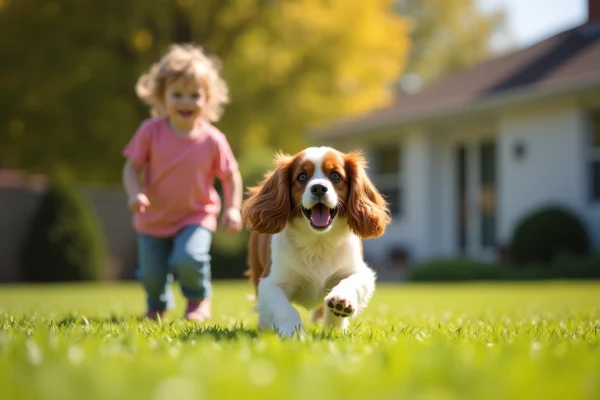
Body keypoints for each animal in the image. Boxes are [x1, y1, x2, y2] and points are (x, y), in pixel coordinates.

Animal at [241, 145, 392, 336]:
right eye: (302, 177)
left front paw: (341, 302)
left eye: (335, 176)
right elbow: (286, 309)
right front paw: (294, 333)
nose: (319, 188)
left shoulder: (360, 272)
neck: (318, 242)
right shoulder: (270, 283)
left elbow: (352, 282)